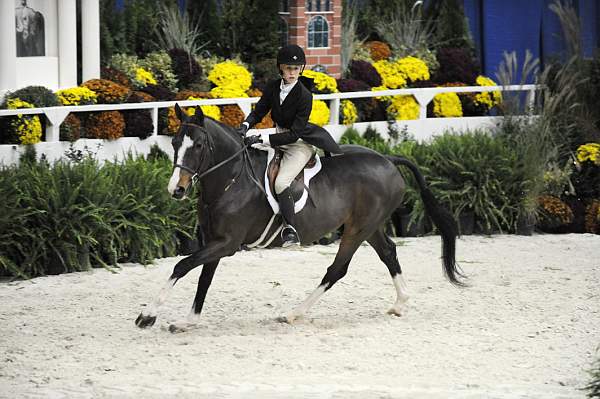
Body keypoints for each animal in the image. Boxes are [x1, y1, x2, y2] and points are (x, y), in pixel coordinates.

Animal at [136, 104, 464, 332]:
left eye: (199, 146)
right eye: (175, 144)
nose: (176, 190)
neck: (230, 180)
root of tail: (387, 159)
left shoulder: (226, 244)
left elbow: (182, 266)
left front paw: (147, 315)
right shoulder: (214, 241)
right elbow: (203, 278)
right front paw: (187, 322)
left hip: (357, 230)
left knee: (337, 270)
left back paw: (293, 313)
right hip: (368, 227)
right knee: (389, 253)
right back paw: (400, 304)